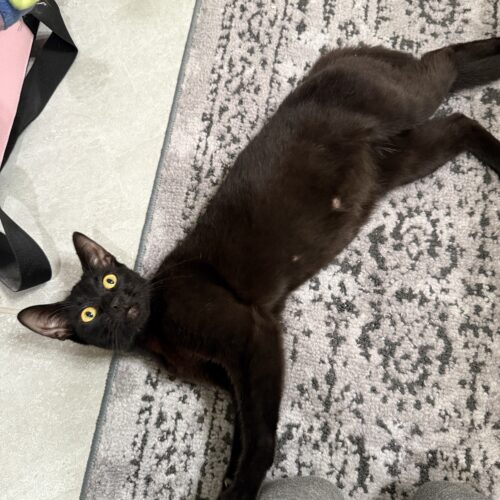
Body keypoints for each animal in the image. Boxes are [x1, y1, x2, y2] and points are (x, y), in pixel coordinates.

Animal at [18, 39, 500, 500]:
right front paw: (229, 474)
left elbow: (259, 434)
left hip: (406, 100)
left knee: (444, 61)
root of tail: (335, 59)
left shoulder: (253, 334)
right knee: (459, 120)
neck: (156, 336)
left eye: (111, 279)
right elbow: (244, 427)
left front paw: (242, 489)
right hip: (402, 159)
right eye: (89, 314)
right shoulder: (234, 371)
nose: (118, 303)